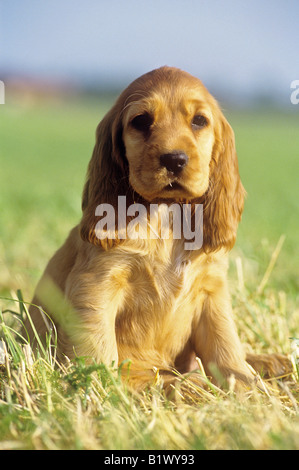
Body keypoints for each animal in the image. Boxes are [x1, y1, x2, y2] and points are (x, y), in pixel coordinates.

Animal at [25, 66, 290, 392]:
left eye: (199, 120)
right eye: (141, 120)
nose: (174, 159)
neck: (166, 213)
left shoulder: (211, 289)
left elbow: (224, 343)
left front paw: (244, 383)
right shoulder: (97, 283)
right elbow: (97, 345)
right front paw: (99, 385)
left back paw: (268, 362)